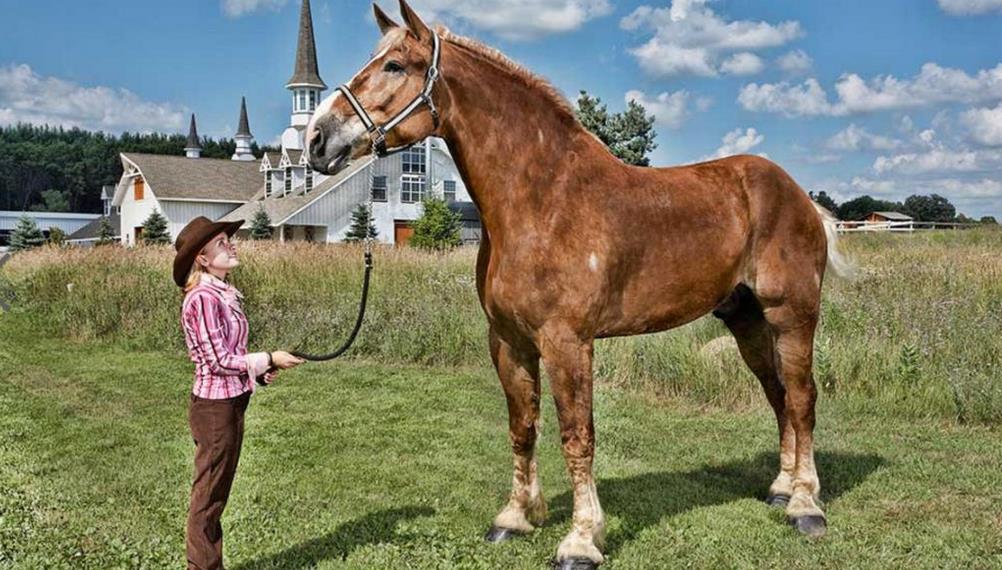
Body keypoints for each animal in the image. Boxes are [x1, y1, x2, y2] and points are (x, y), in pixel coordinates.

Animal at [302, 3, 845, 564]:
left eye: (394, 66)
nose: (316, 139)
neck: (542, 201)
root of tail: (801, 199)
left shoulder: (567, 342)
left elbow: (576, 435)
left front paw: (581, 540)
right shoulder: (509, 341)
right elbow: (523, 427)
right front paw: (515, 517)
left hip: (792, 315)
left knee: (802, 399)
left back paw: (805, 505)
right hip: (746, 320)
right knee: (778, 396)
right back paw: (781, 487)